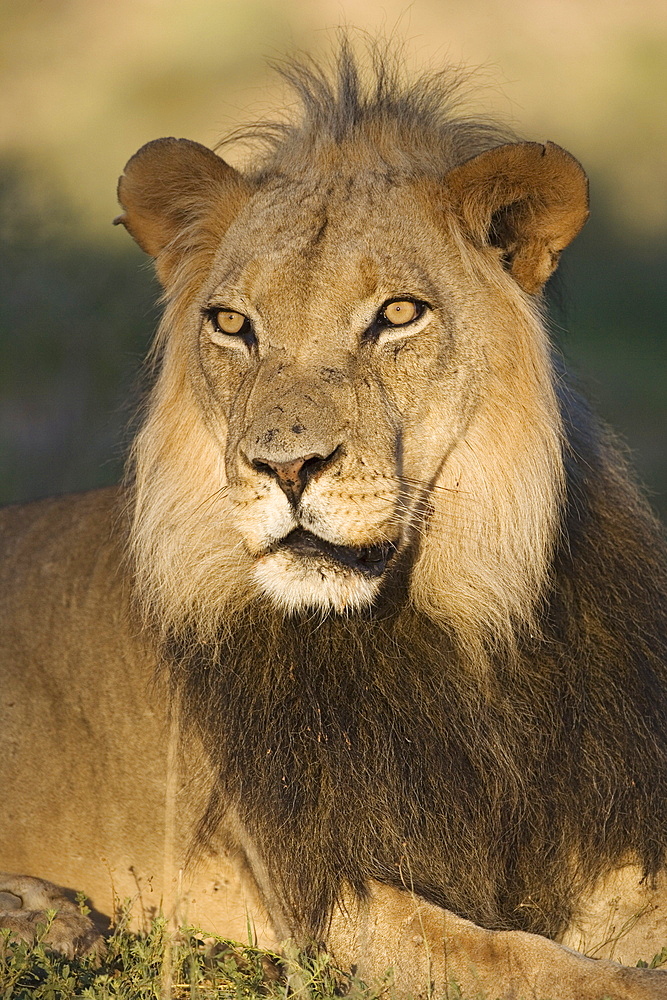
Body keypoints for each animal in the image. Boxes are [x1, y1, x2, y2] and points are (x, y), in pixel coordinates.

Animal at [1, 43, 667, 996]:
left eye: (397, 315)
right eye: (231, 323)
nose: (286, 468)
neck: (454, 622)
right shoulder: (329, 896)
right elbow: (524, 961)